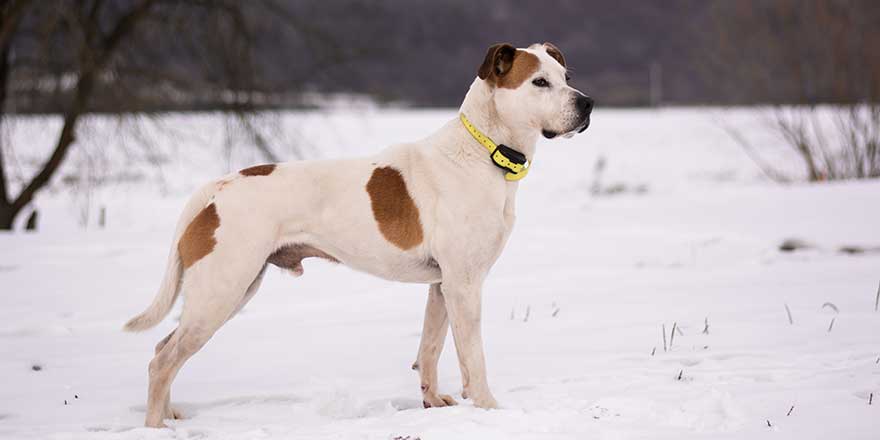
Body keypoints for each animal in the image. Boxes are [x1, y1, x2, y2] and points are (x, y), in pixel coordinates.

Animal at [125, 41, 592, 426]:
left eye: (567, 77)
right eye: (539, 81)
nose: (587, 104)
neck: (483, 152)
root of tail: (213, 189)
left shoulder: (442, 285)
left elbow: (430, 348)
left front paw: (433, 403)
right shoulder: (464, 284)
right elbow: (472, 356)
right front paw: (489, 408)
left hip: (231, 289)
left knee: (161, 348)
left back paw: (169, 415)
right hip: (221, 291)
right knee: (161, 361)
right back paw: (154, 427)